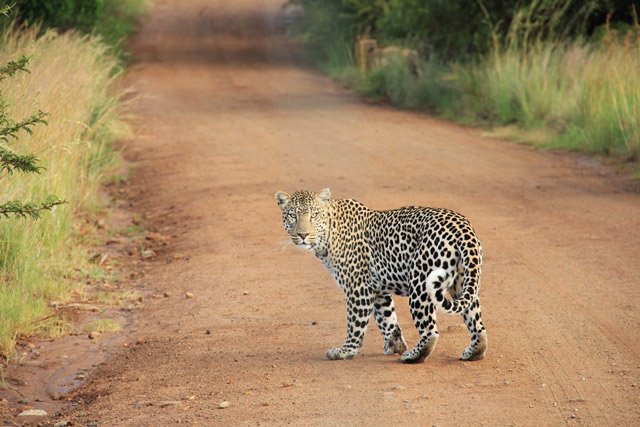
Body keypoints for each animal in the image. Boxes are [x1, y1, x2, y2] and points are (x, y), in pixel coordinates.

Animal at [276, 188, 490, 364]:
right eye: (292, 216)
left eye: (314, 215)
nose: (303, 235)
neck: (328, 235)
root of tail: (462, 227)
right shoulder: (377, 289)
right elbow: (387, 319)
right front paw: (395, 345)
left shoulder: (358, 288)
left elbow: (355, 323)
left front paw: (345, 351)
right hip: (463, 283)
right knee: (476, 323)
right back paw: (474, 352)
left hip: (421, 285)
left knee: (430, 331)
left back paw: (413, 356)